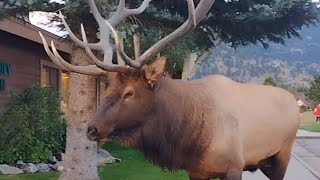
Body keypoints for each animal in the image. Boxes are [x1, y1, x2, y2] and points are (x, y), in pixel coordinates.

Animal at [39, 0, 300, 179]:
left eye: (130, 92)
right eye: (108, 88)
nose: (92, 129)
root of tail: (293, 102)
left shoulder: (234, 167)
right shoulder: (196, 171)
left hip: (283, 154)